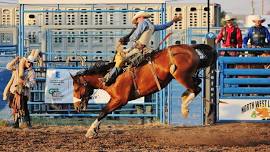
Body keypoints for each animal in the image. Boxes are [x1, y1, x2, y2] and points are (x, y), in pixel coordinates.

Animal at [70, 43, 217, 138]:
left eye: (76, 87)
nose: (76, 107)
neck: (110, 76)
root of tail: (190, 48)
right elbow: (105, 112)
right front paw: (95, 130)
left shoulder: (120, 100)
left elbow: (103, 111)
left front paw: (90, 131)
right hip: (187, 75)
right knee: (196, 84)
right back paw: (184, 98)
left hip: (180, 75)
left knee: (197, 88)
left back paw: (184, 108)